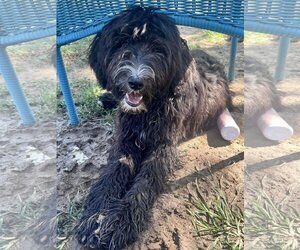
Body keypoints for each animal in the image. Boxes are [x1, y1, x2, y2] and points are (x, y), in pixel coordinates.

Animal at [77, 6, 230, 249]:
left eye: (158, 48)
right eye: (122, 43)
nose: (135, 82)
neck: (148, 110)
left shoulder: (163, 147)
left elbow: (145, 182)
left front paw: (120, 221)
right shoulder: (125, 141)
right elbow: (112, 173)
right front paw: (94, 214)